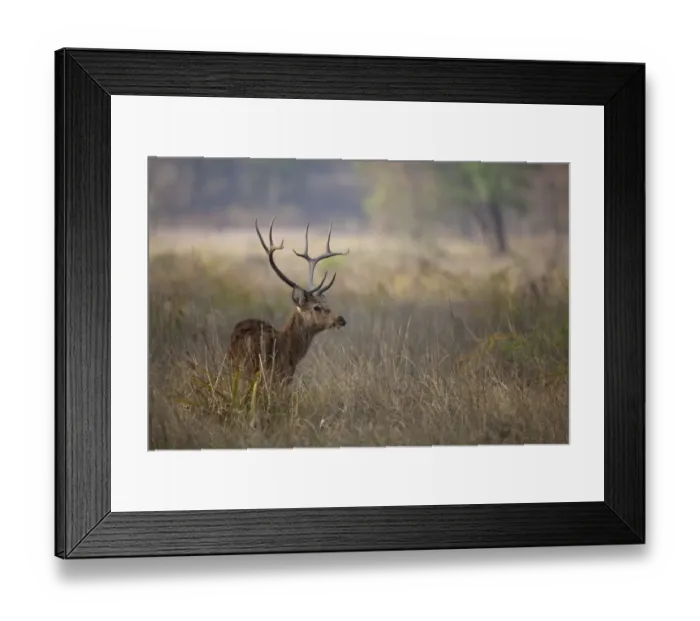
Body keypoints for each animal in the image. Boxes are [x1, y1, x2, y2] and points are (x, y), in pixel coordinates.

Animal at [227, 217, 349, 391]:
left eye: (326, 302)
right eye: (316, 307)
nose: (341, 319)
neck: (290, 349)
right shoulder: (282, 377)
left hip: (234, 369)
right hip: (257, 371)